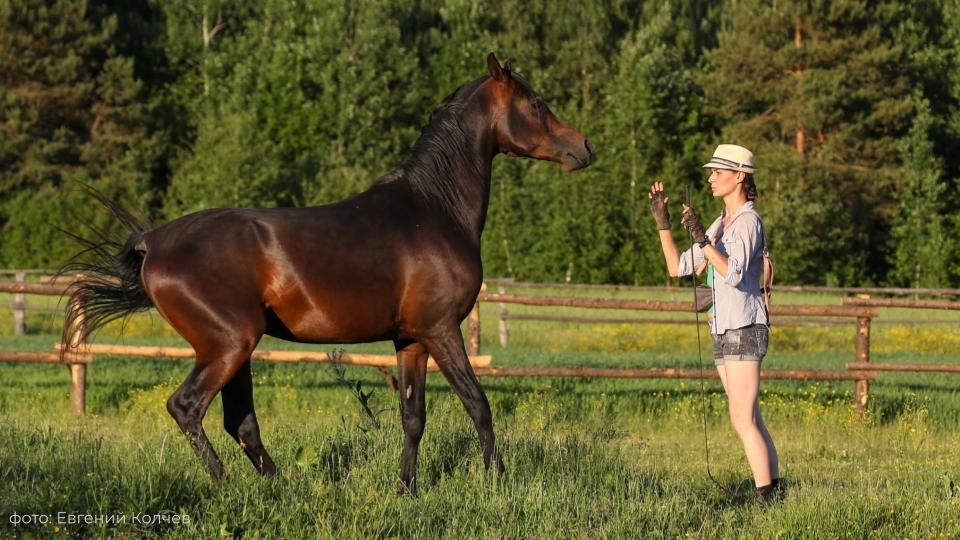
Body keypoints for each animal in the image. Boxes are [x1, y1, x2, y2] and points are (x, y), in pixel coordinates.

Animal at [61, 52, 594, 495]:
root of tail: (154, 243)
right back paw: (225, 484)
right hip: (227, 345)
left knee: (241, 423)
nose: (584, 147)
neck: (434, 209)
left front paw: (406, 490)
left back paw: (281, 487)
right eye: (537, 103)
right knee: (188, 407)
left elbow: (413, 417)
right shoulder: (443, 330)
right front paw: (498, 480)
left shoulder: (412, 339)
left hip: (235, 350)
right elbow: (478, 404)